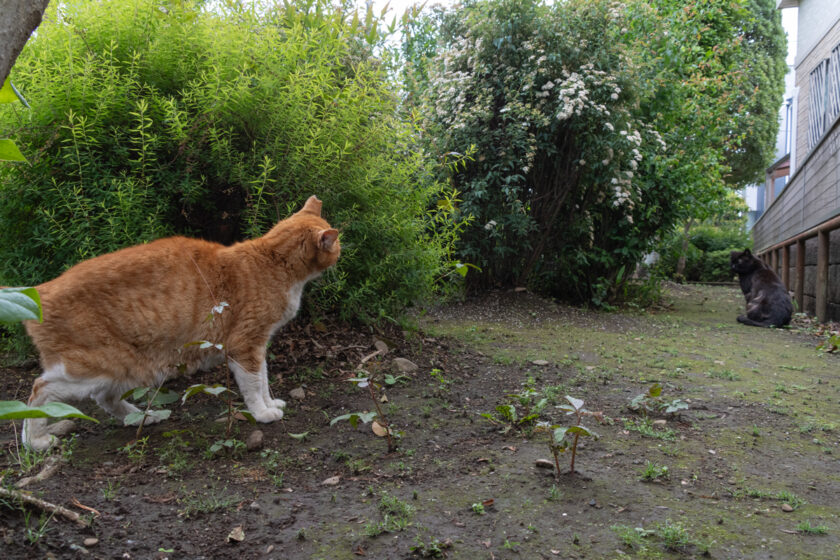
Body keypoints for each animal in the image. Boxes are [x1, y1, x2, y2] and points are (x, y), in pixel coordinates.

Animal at [18, 197, 338, 450]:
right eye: (337, 245)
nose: (342, 251)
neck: (270, 261)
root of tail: (39, 291)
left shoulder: (259, 346)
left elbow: (264, 378)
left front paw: (271, 403)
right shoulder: (245, 346)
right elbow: (253, 384)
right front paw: (262, 412)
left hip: (122, 370)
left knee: (103, 398)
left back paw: (144, 417)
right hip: (94, 368)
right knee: (39, 391)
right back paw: (35, 441)